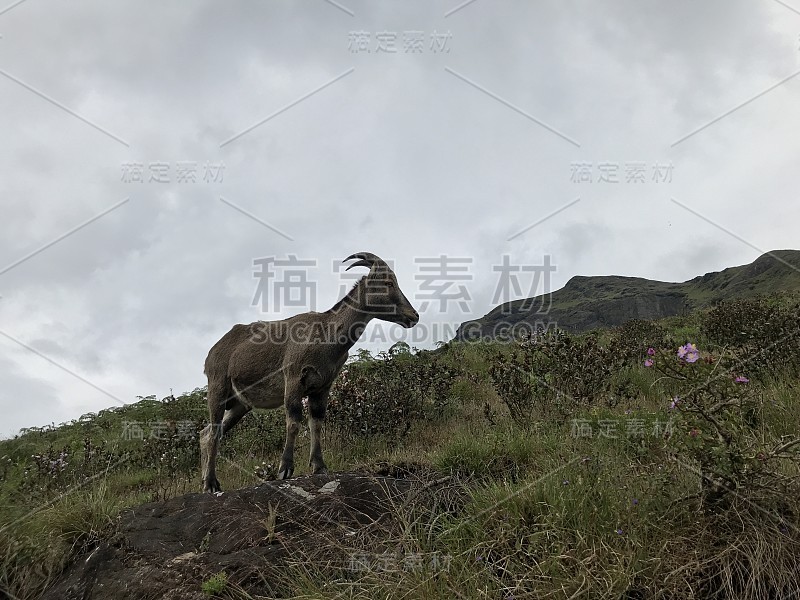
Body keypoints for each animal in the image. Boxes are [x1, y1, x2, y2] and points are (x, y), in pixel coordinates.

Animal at [199, 252, 418, 492]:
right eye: (388, 283)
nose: (413, 316)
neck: (326, 335)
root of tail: (211, 353)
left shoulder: (322, 387)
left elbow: (316, 423)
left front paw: (319, 466)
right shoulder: (294, 378)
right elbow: (294, 422)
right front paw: (285, 469)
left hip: (240, 404)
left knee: (207, 433)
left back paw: (207, 480)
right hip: (218, 388)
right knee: (213, 433)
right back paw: (210, 484)